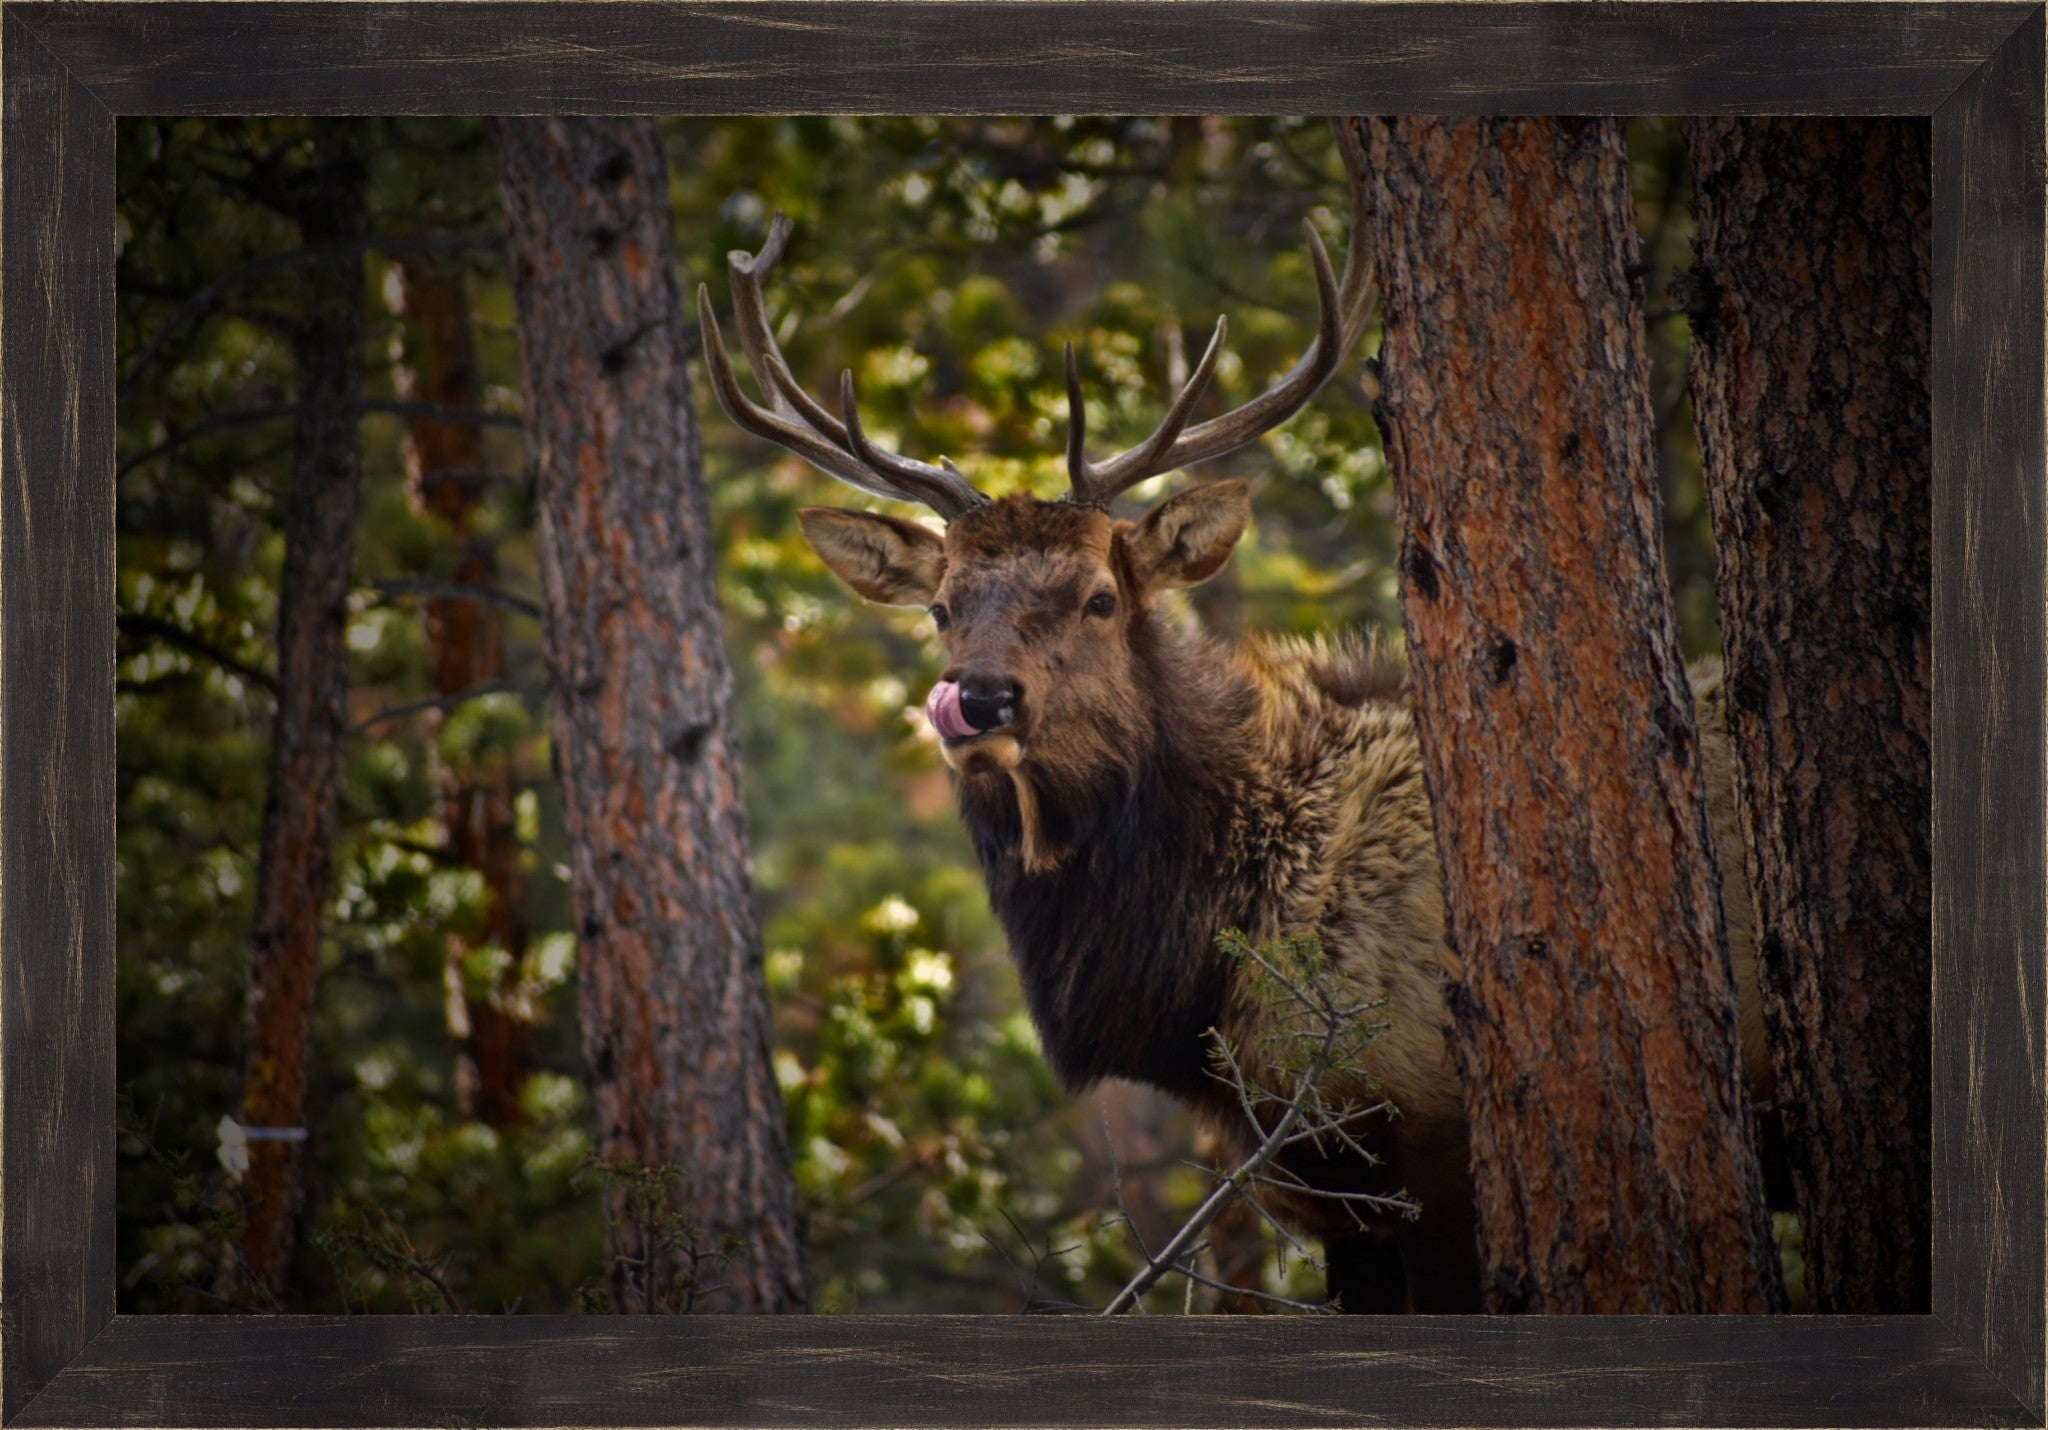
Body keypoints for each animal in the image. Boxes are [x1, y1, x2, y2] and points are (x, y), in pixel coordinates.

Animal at [694, 123, 1774, 1314]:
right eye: (941, 606)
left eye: (1100, 595)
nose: (977, 696)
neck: (1196, 987)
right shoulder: (1315, 1184)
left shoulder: (1427, 1140)